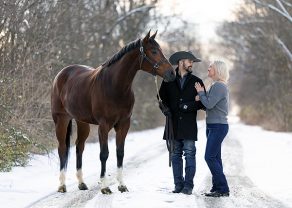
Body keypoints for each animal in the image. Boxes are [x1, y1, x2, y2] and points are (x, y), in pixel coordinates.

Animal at [50, 30, 176, 193]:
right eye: (154, 51)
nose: (172, 73)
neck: (115, 86)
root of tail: (61, 74)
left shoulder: (124, 124)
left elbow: (120, 153)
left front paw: (122, 185)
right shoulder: (104, 126)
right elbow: (104, 154)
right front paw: (105, 187)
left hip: (82, 122)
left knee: (79, 147)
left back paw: (81, 183)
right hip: (61, 120)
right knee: (62, 149)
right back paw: (62, 185)